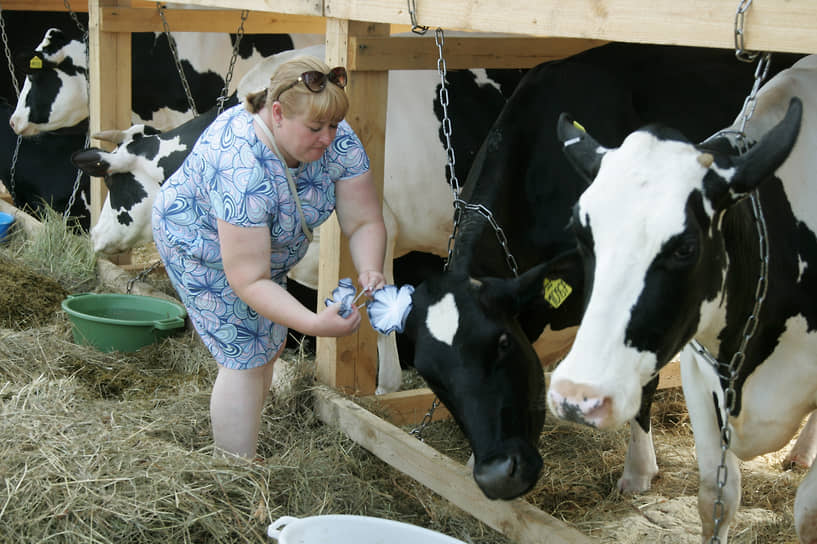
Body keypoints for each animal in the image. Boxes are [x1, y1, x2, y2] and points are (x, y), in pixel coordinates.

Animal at [548, 54, 816, 540]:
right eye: (581, 231)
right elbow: (716, 496)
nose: (579, 396)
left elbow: (808, 512)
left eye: (686, 247)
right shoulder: (699, 372)